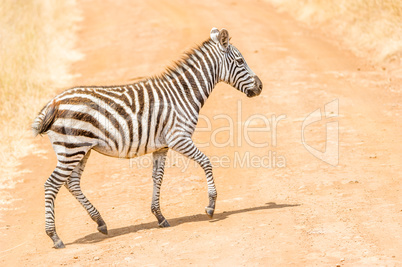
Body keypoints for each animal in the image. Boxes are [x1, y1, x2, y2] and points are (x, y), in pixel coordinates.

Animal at [33, 27, 262, 249]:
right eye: (240, 61)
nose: (260, 87)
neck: (183, 94)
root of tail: (54, 102)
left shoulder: (162, 146)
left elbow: (157, 177)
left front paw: (159, 216)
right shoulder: (179, 138)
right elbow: (206, 162)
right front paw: (211, 206)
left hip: (81, 149)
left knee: (71, 183)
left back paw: (100, 222)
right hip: (72, 148)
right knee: (51, 185)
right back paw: (55, 237)